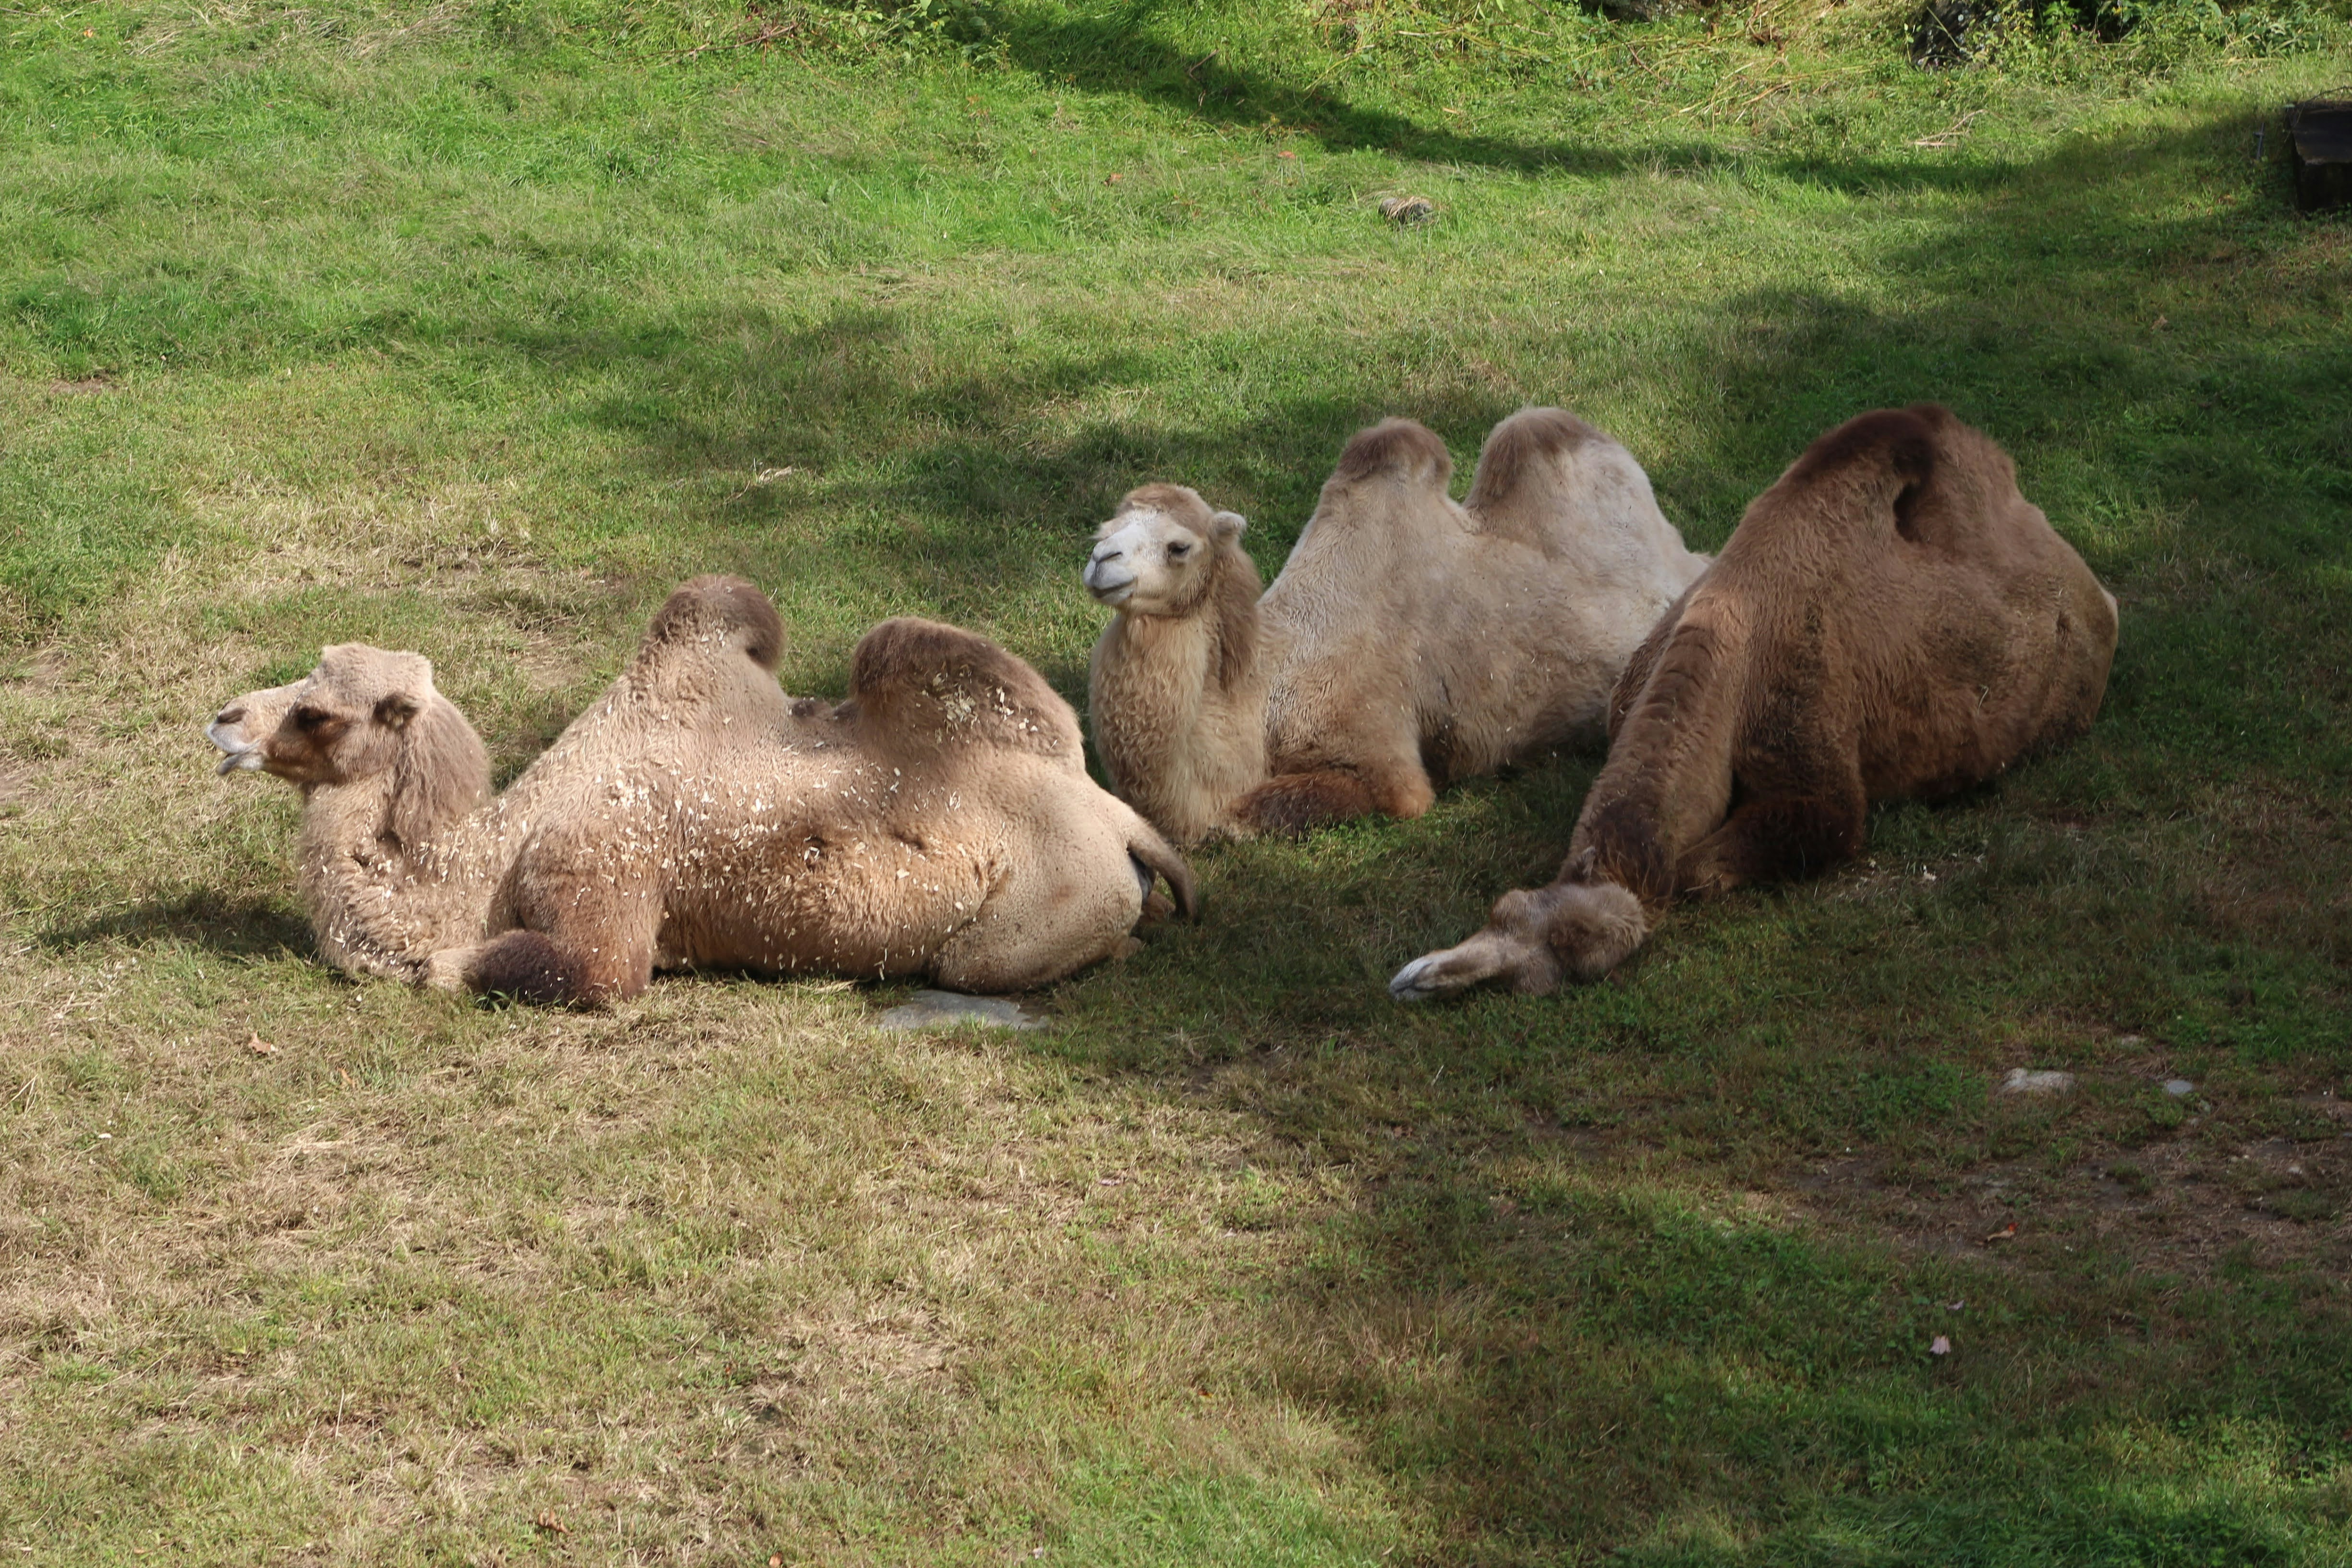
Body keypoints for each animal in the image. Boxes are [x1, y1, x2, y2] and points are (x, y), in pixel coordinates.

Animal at [206, 576, 1196, 1004]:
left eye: (317, 713)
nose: (223, 719)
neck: (480, 864)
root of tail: (1121, 823)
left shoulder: (588, 871)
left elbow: (562, 972)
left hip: (1020, 926)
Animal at [1082, 407, 1712, 844]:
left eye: (1178, 546)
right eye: (1103, 530)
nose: (1100, 563)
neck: (1264, 691)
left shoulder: (1377, 754)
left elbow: (1253, 813)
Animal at [1388, 404, 2119, 1001]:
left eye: (1578, 963)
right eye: (1502, 910)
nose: (1415, 980)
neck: (1732, 630)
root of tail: (2096, 596)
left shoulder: (1818, 785)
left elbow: (1695, 870)